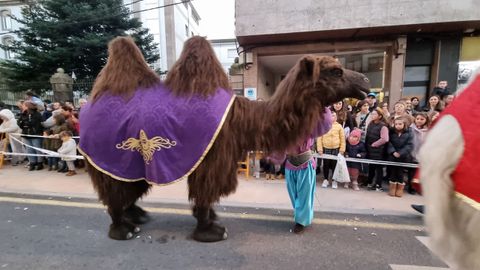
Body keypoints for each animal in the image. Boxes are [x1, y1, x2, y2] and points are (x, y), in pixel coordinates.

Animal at [80, 36, 370, 243]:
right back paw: (123, 229)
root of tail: (86, 108)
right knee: (114, 189)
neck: (241, 119)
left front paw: (210, 218)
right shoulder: (213, 157)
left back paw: (138, 216)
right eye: (335, 71)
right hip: (107, 153)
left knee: (129, 185)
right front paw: (210, 231)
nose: (365, 81)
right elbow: (205, 192)